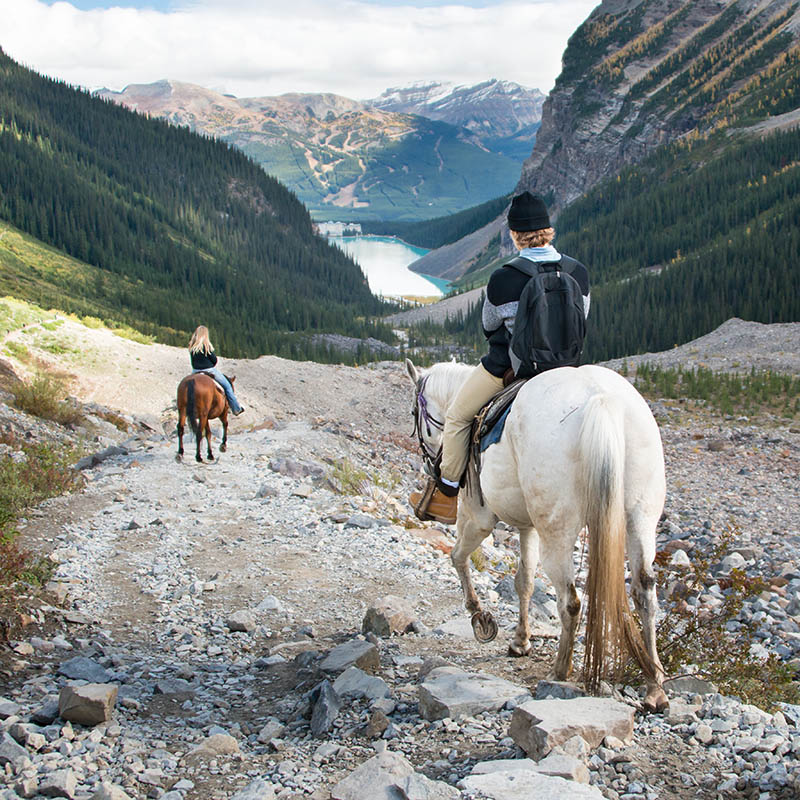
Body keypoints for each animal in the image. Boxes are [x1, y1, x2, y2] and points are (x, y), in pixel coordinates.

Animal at [406, 360, 668, 708]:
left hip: (556, 530)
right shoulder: (527, 525)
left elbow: (458, 556)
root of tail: (601, 399)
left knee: (571, 601)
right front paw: (521, 641)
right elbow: (525, 581)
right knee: (644, 592)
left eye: (414, 413)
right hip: (640, 518)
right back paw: (655, 686)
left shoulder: (479, 517)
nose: (428, 465)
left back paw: (559, 672)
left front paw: (480, 617)